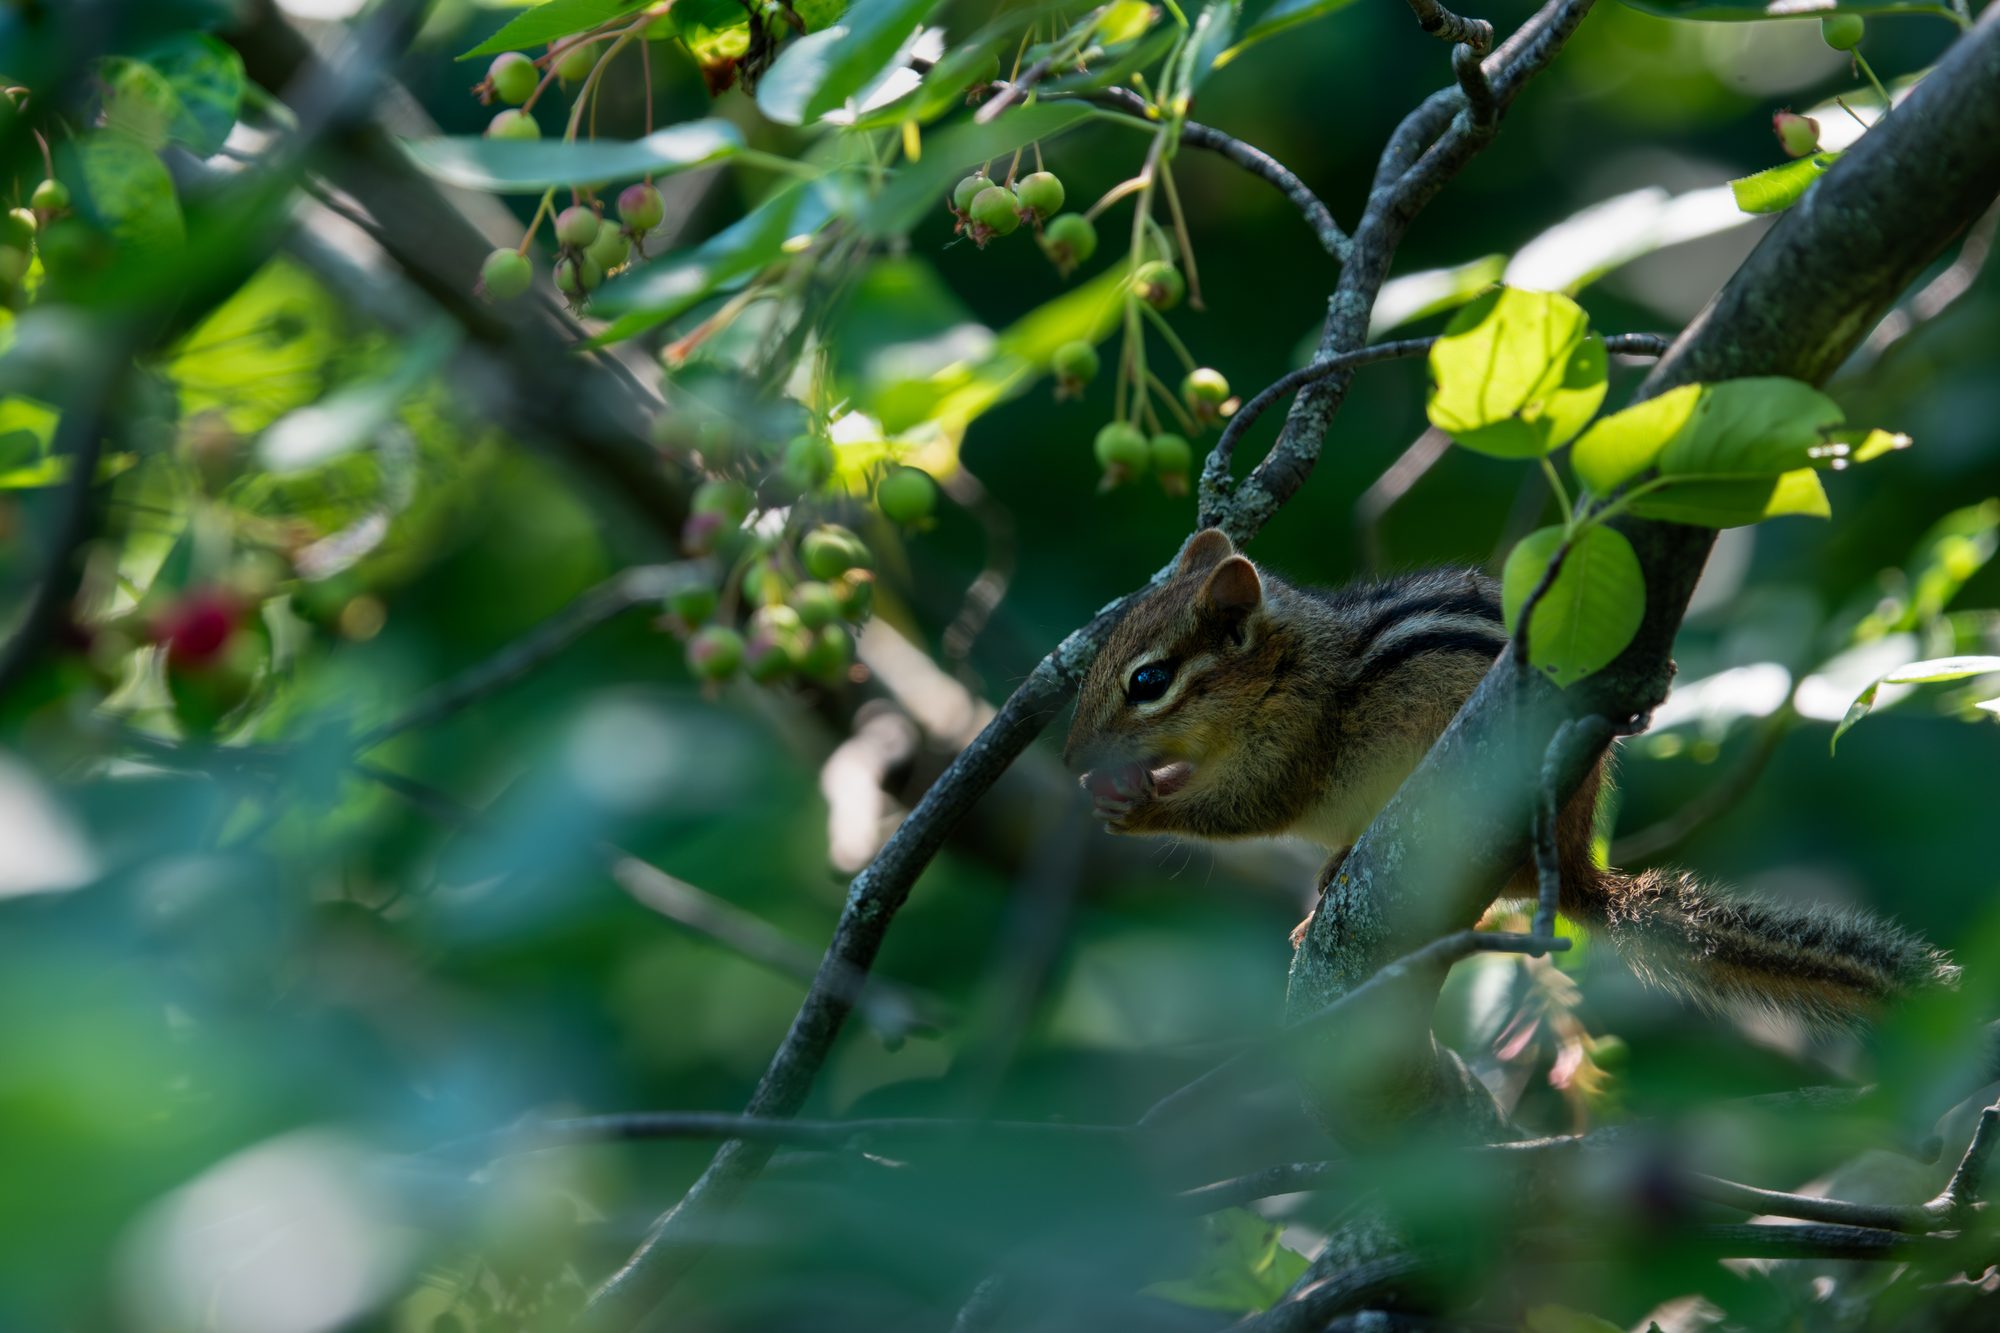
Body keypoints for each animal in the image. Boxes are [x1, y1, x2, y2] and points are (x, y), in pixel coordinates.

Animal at [1063, 528, 1959, 1029]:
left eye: (1148, 681)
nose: (1072, 759)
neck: (1289, 665)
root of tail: (1579, 863)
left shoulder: (1292, 743)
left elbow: (1248, 806)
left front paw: (1138, 802)